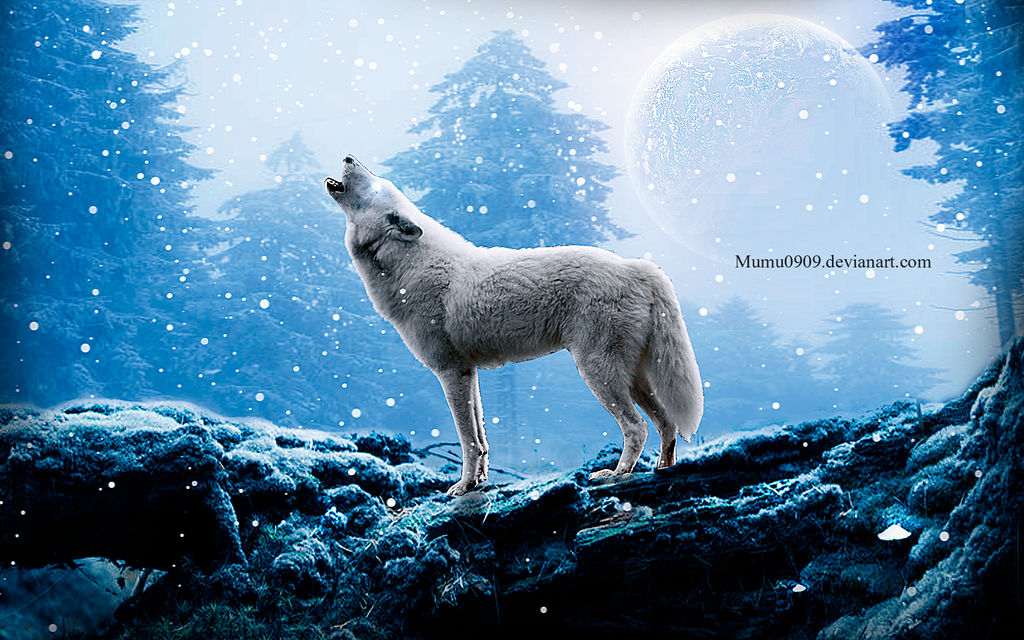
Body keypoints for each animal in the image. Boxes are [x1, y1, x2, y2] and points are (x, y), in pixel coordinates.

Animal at [325, 156, 702, 495]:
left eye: (374, 184)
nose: (348, 156)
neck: (408, 268)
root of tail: (637, 267)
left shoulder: (450, 373)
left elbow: (467, 439)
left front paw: (462, 486)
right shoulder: (468, 373)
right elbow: (481, 437)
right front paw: (478, 482)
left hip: (598, 373)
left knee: (637, 427)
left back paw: (616, 473)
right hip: (634, 378)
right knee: (666, 424)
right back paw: (663, 470)